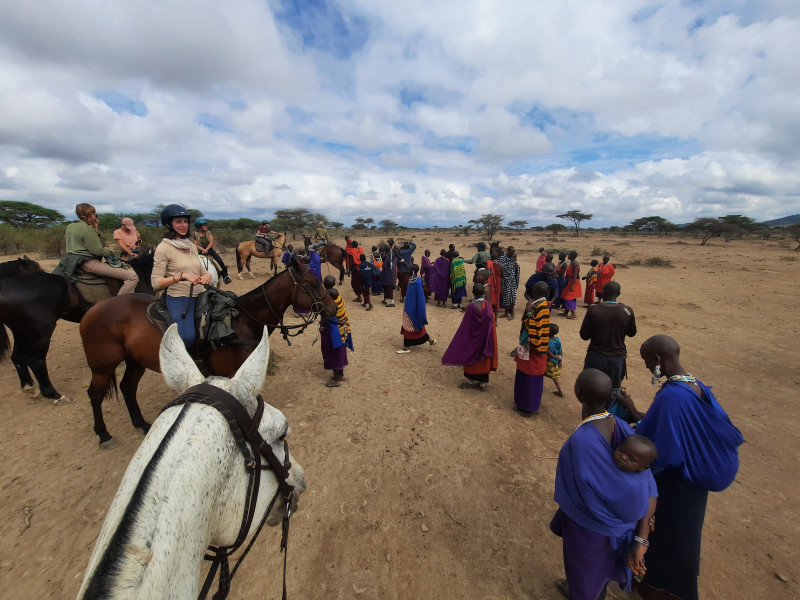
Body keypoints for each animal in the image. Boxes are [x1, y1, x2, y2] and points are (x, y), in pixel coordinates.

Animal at [0, 254, 155, 400]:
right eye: (36, 268)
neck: (144, 273)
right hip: (40, 334)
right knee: (36, 361)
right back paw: (54, 394)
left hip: (22, 332)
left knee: (17, 357)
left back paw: (29, 387)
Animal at [79, 255, 334, 448]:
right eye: (312, 283)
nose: (331, 306)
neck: (240, 323)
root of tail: (91, 311)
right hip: (102, 367)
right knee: (95, 395)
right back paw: (104, 435)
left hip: (135, 361)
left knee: (127, 388)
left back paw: (141, 424)